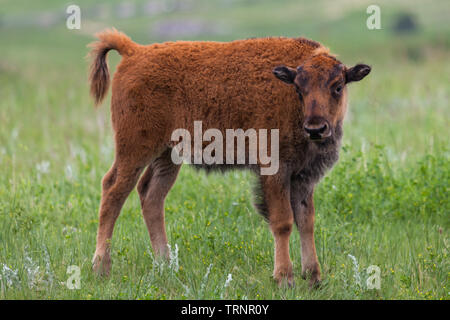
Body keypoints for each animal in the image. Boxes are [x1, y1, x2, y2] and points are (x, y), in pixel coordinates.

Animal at [88, 28, 370, 288]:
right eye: (299, 89)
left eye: (338, 87)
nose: (315, 128)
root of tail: (134, 52)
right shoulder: (274, 170)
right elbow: (283, 221)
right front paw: (284, 278)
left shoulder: (303, 176)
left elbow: (306, 221)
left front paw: (313, 278)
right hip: (135, 148)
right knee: (113, 190)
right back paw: (101, 268)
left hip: (167, 155)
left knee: (151, 195)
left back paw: (165, 265)